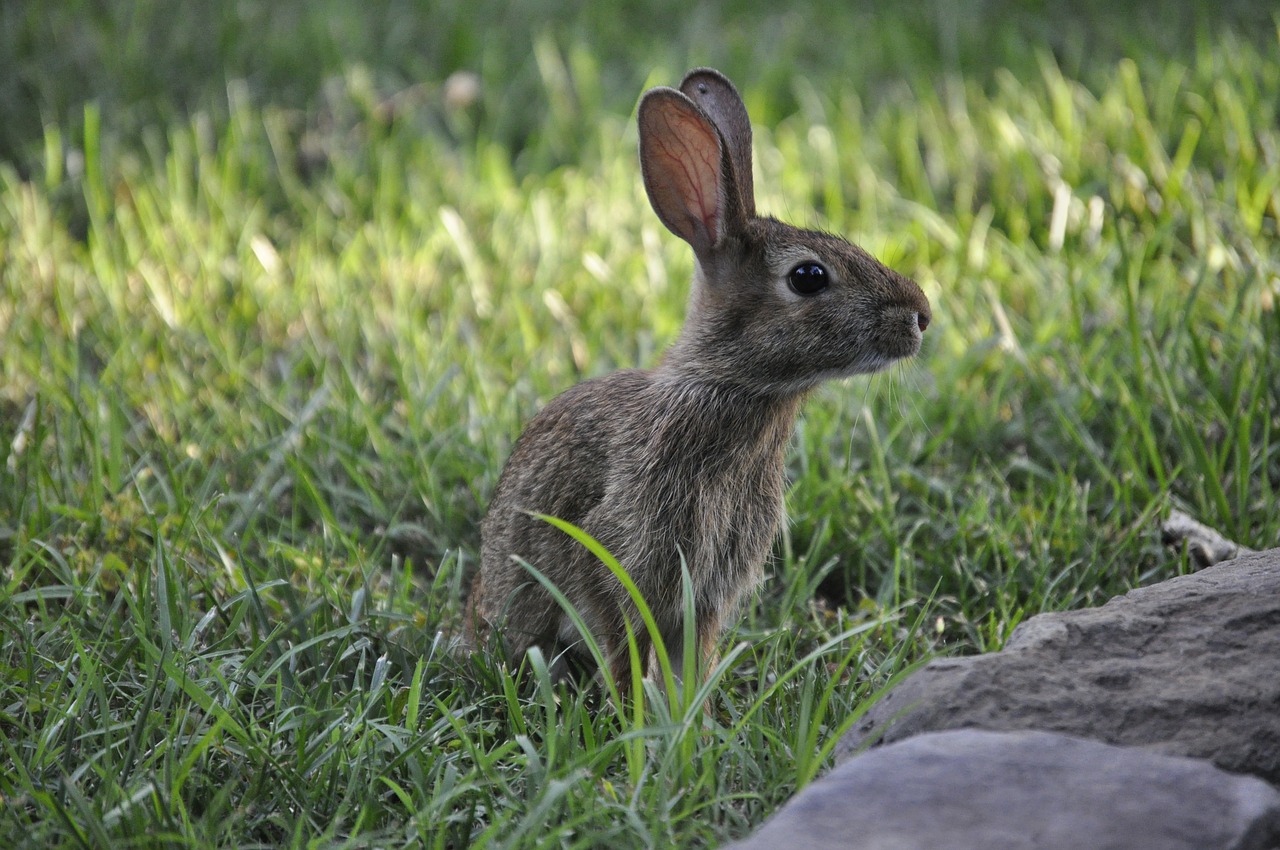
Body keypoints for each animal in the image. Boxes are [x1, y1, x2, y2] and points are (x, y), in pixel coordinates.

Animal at [471, 66, 931, 691]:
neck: (728, 385)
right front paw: (636, 714)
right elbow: (625, 652)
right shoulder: (620, 563)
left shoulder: (707, 594)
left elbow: (694, 660)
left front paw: (696, 712)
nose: (922, 316)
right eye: (809, 277)